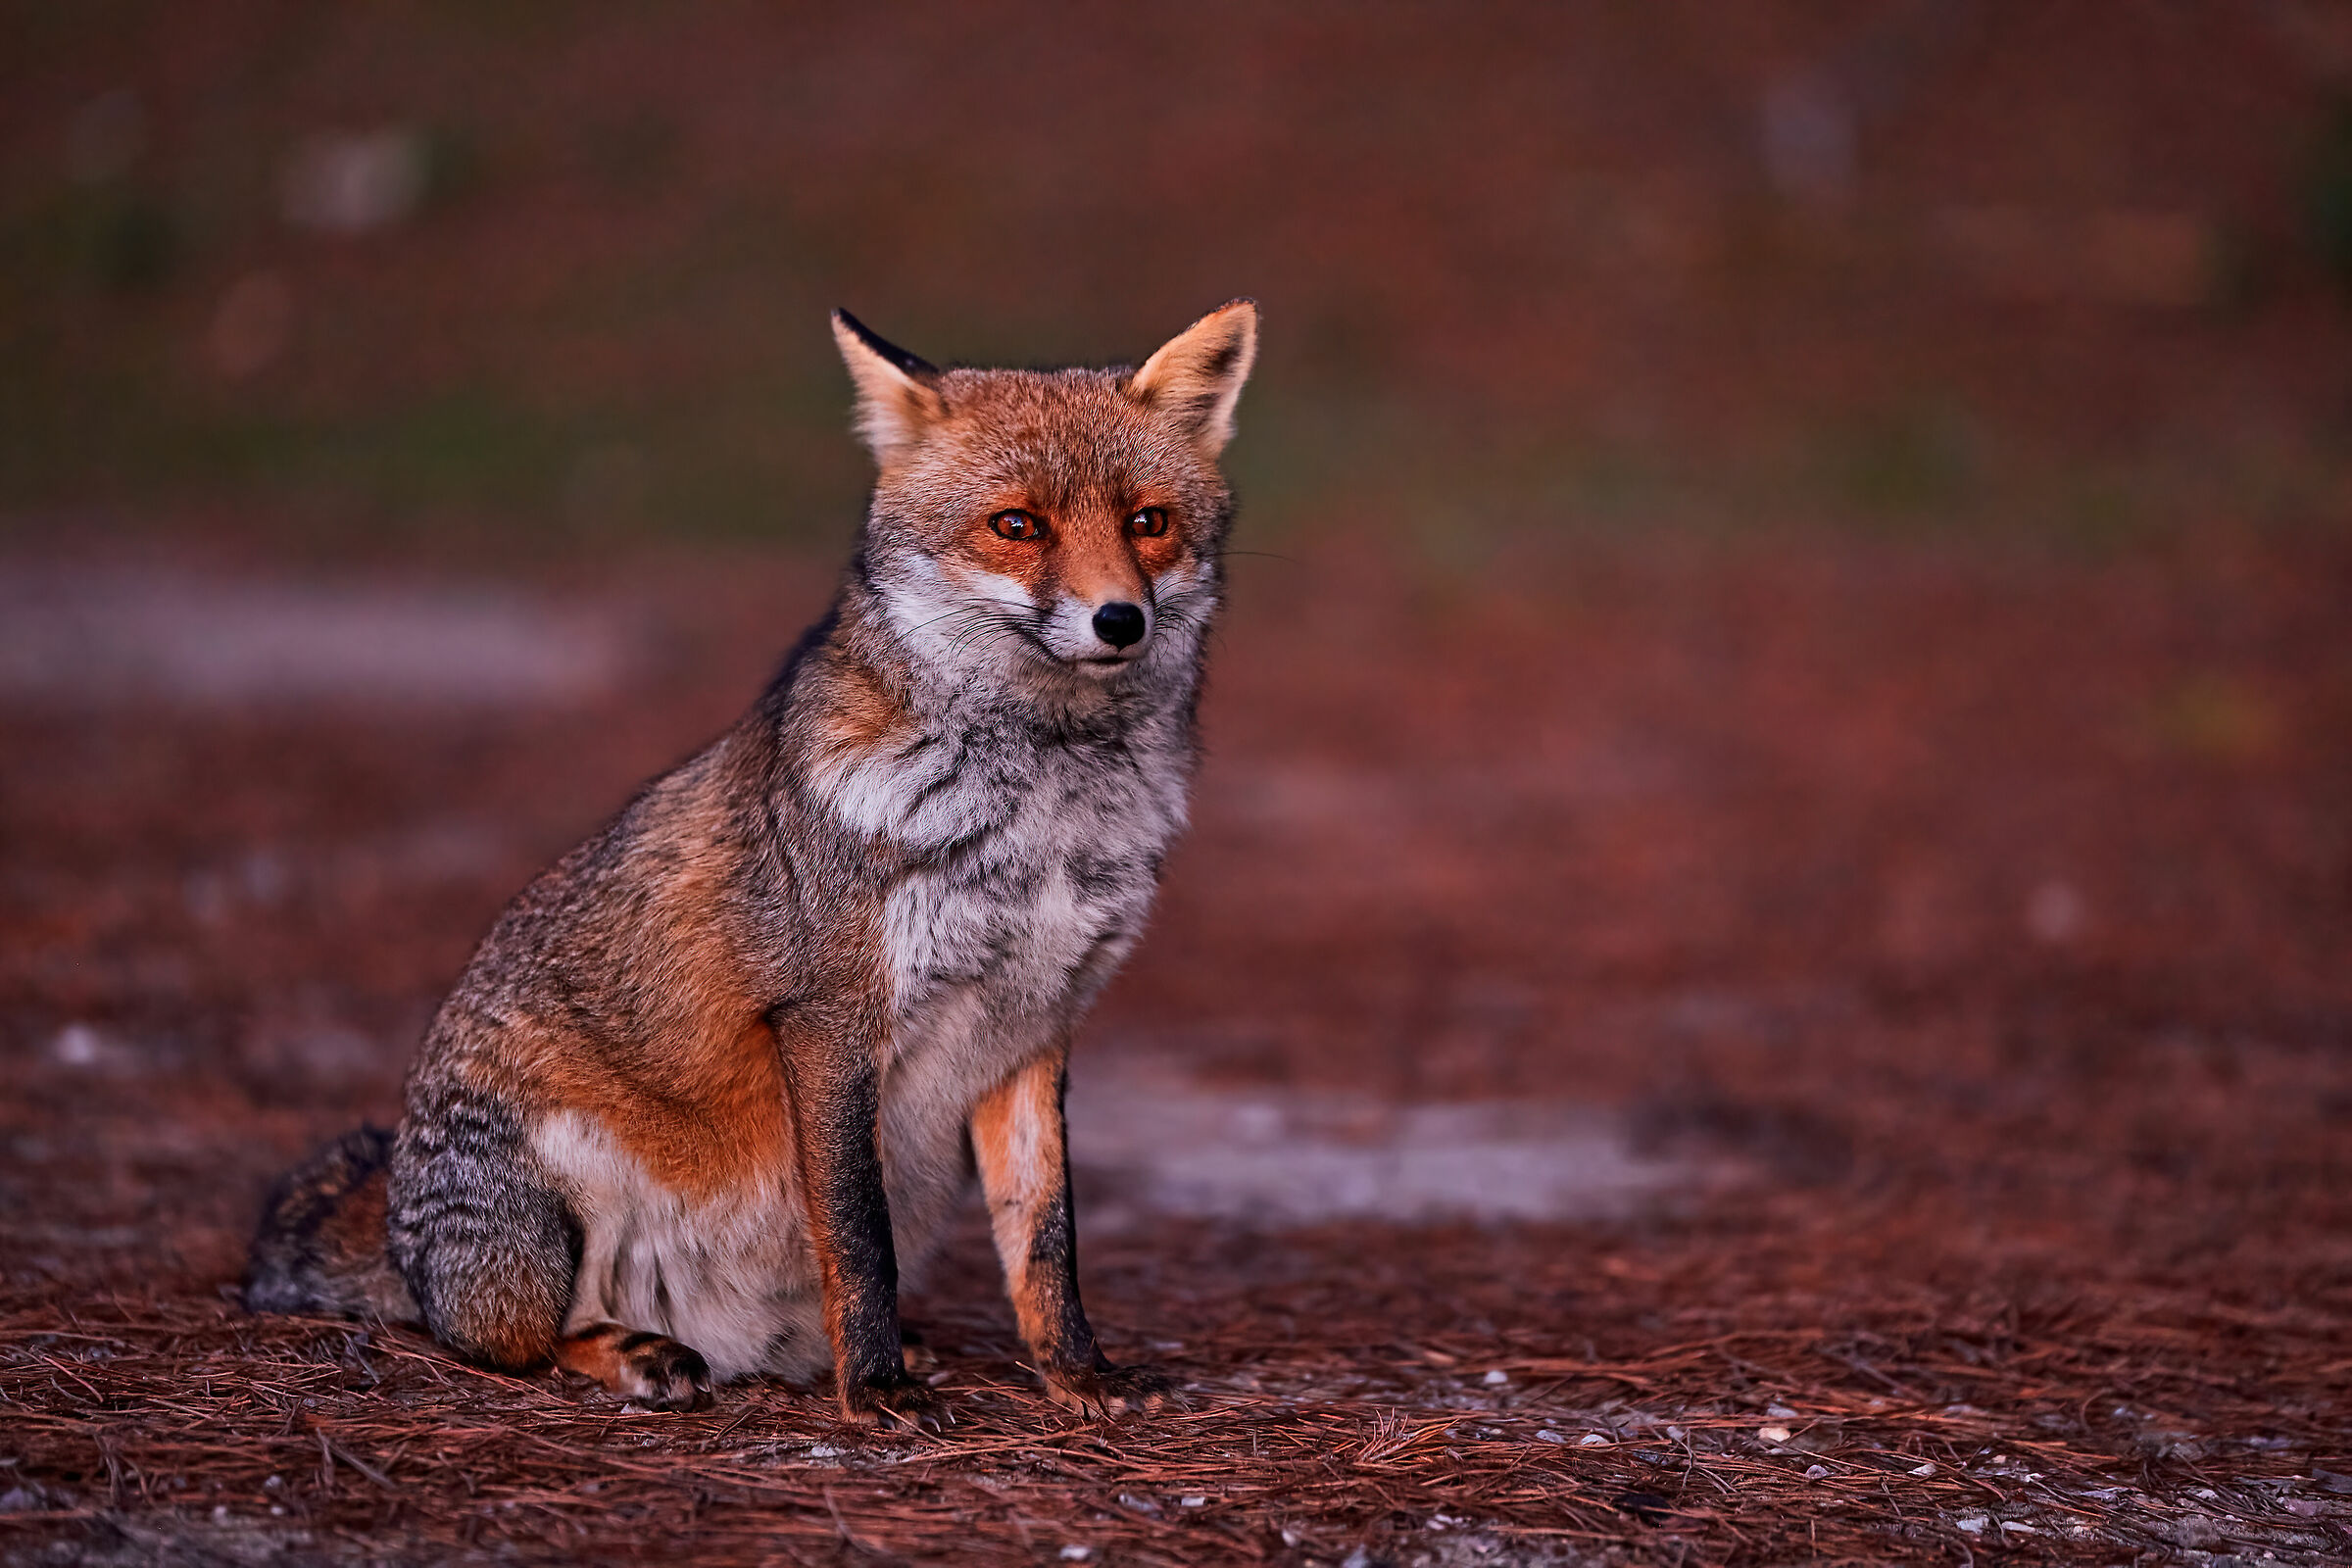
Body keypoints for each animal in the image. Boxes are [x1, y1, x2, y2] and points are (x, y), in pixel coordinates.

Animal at [243, 301, 1259, 1429]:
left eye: (1148, 522)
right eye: (1017, 525)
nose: (1119, 619)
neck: (1045, 816)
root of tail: (396, 1236)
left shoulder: (1037, 1026)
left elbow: (1045, 1240)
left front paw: (1076, 1375)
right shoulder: (831, 1015)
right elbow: (858, 1238)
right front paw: (877, 1392)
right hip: (551, 1223)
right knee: (508, 1340)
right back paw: (643, 1351)